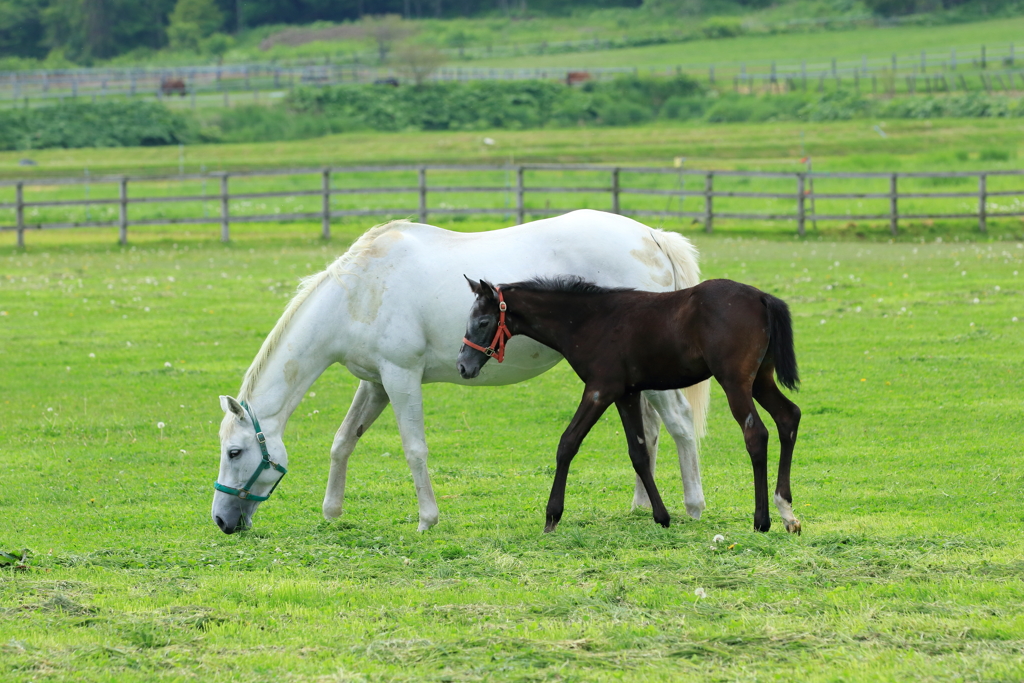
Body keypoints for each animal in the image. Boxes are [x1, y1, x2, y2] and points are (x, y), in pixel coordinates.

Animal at [214, 210, 712, 536]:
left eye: (235, 452)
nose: (221, 520)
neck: (358, 291)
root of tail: (652, 236)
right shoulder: (375, 383)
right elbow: (343, 441)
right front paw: (333, 510)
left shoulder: (401, 378)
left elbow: (415, 450)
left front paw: (427, 519)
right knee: (651, 431)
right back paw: (641, 504)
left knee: (680, 425)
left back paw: (692, 506)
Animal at [460, 276, 802, 532]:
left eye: (484, 321)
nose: (463, 366)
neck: (587, 319)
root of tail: (761, 297)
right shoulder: (627, 394)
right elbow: (638, 452)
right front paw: (661, 517)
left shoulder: (600, 389)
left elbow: (567, 443)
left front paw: (552, 516)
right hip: (760, 380)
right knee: (789, 417)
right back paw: (786, 511)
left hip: (734, 382)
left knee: (756, 434)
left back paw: (762, 520)